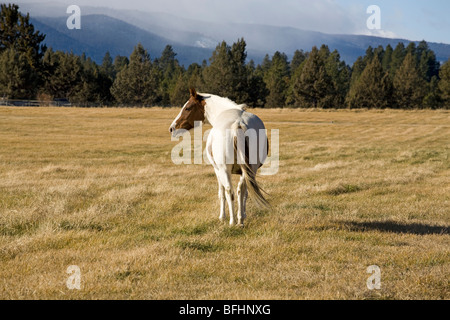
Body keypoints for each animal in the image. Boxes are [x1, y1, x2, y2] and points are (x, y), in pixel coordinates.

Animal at [168, 89, 268, 226]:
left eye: (187, 108)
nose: (172, 128)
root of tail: (237, 123)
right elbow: (245, 193)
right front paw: (243, 215)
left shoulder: (217, 170)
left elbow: (221, 193)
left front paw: (222, 217)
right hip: (250, 169)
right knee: (241, 190)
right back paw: (240, 220)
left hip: (225, 169)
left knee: (229, 191)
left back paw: (232, 221)